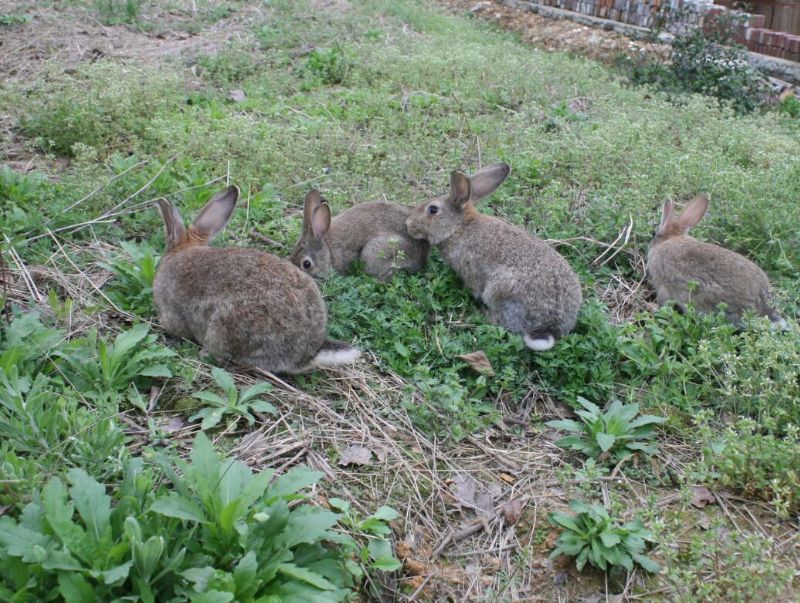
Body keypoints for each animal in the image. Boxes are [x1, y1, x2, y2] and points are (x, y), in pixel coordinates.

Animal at [648, 195, 784, 328]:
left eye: (654, 234)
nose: (650, 244)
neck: (670, 239)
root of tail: (762, 307)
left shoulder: (663, 287)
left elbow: (664, 303)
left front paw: (653, 307)